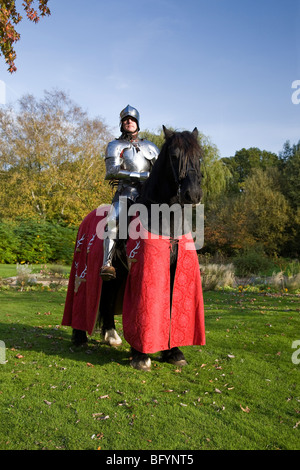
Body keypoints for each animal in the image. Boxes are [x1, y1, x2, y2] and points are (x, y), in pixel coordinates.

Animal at [71, 126, 203, 370]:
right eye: (174, 156)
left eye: (199, 157)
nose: (193, 194)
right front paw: (141, 355)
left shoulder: (172, 271)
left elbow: (171, 305)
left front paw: (173, 352)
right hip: (85, 269)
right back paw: (79, 336)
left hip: (120, 273)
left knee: (108, 295)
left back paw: (111, 335)